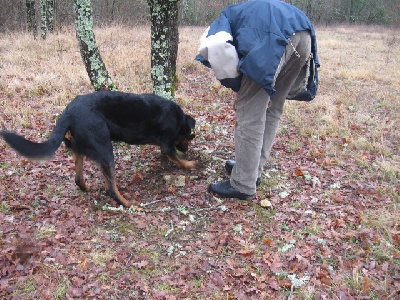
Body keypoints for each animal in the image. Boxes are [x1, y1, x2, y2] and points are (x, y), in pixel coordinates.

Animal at [1, 90, 197, 207]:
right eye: (189, 137)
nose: (186, 149)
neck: (179, 120)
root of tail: (68, 113)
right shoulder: (167, 144)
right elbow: (176, 157)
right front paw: (190, 164)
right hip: (105, 151)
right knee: (110, 188)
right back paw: (127, 202)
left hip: (80, 148)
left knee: (78, 178)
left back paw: (86, 187)